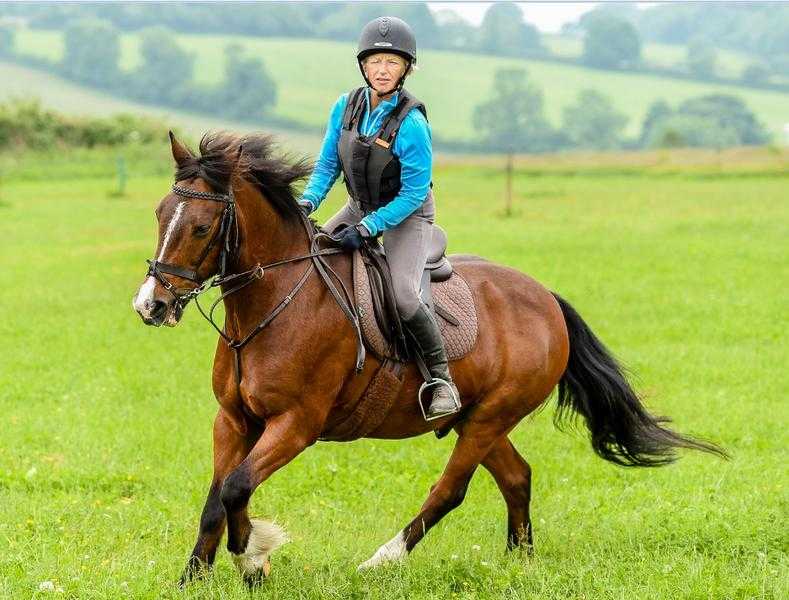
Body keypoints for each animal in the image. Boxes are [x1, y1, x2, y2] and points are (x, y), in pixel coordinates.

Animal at [131, 131, 728, 584]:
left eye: (201, 226)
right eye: (159, 213)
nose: (150, 305)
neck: (276, 302)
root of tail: (545, 298)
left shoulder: (297, 424)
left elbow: (237, 487)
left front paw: (254, 556)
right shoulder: (233, 419)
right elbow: (219, 496)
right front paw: (195, 576)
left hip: (489, 417)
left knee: (450, 490)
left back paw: (382, 560)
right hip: (478, 417)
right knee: (517, 477)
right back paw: (520, 563)